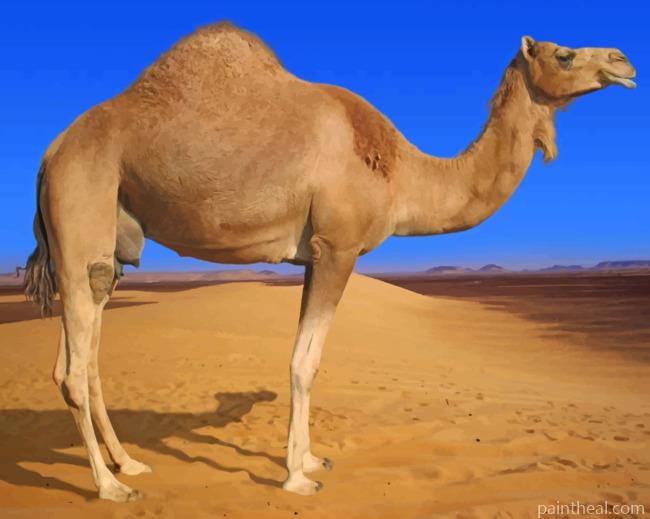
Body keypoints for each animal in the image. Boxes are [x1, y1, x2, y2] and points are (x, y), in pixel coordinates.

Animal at [23, 23, 635, 501]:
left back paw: (129, 463)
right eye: (564, 54)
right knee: (73, 369)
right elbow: (304, 362)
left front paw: (312, 459)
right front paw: (298, 477)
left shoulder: (313, 256)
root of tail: (49, 154)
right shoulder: (337, 247)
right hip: (82, 208)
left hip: (109, 246)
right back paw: (110, 486)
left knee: (85, 356)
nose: (624, 62)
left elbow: (307, 359)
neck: (403, 172)